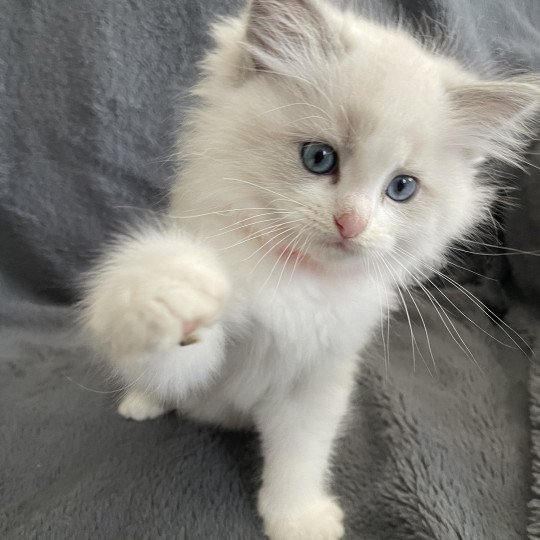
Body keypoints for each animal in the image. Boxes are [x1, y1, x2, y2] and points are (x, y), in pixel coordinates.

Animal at [80, 1, 540, 540]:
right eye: (319, 158)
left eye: (401, 188)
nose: (351, 223)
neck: (300, 279)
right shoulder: (211, 367)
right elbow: (178, 345)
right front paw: (175, 291)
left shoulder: (318, 378)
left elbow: (299, 455)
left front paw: (297, 519)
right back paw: (143, 401)